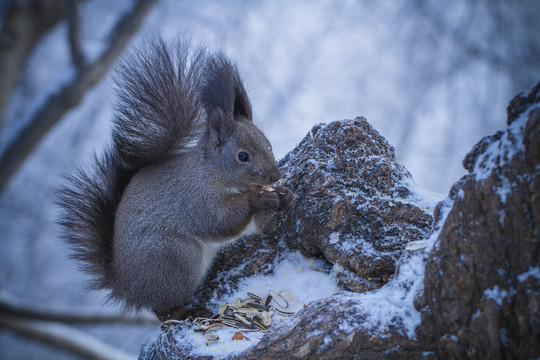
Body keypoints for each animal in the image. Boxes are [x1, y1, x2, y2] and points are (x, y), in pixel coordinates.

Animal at [57, 38, 294, 320]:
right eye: (243, 156)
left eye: (268, 144)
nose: (275, 175)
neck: (212, 172)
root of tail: (128, 290)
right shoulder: (195, 198)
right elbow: (220, 221)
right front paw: (259, 197)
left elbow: (253, 225)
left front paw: (283, 196)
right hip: (176, 258)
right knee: (162, 310)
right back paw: (186, 311)